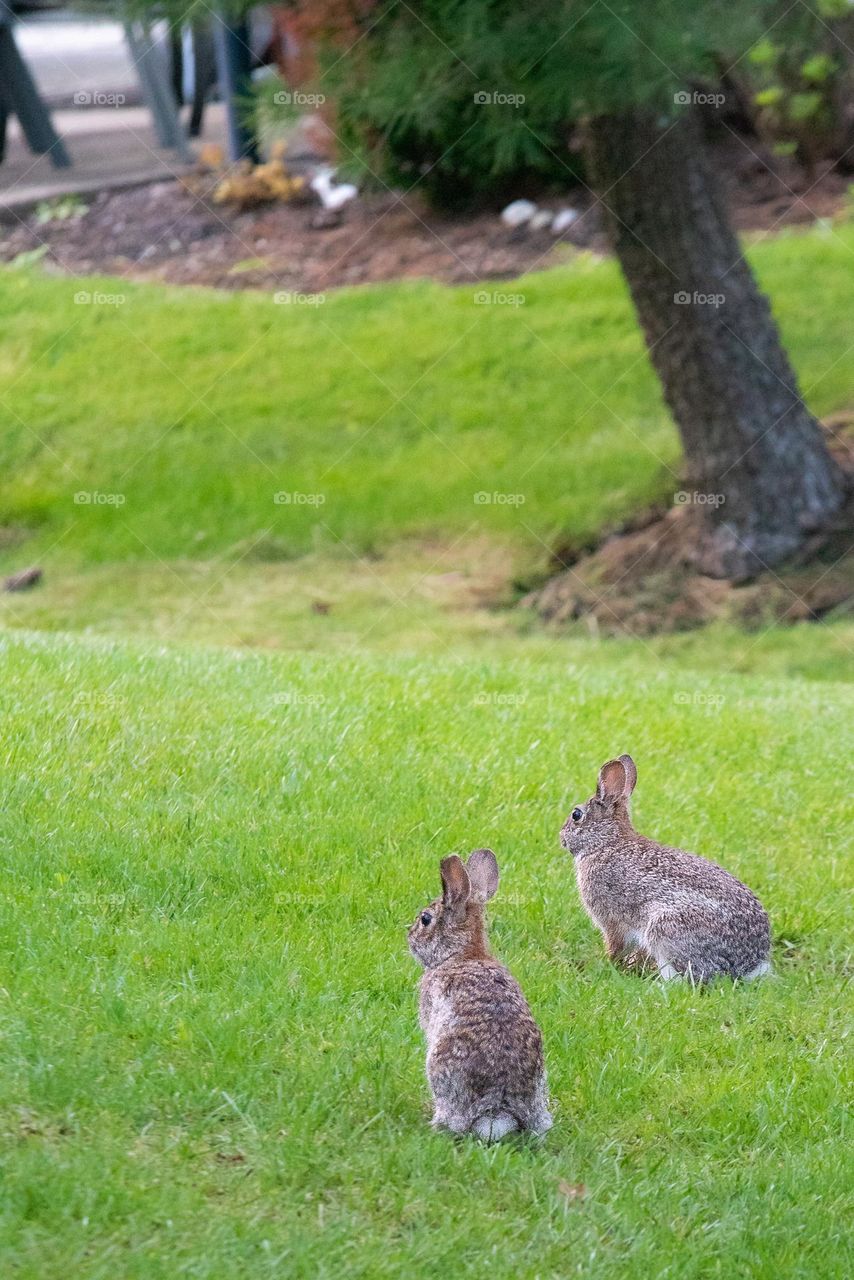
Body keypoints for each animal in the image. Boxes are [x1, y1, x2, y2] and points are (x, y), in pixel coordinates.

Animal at [560, 752, 773, 983]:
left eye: (576, 815)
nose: (562, 838)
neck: (607, 841)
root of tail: (747, 965)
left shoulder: (611, 920)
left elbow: (615, 945)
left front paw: (608, 964)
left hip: (664, 928)